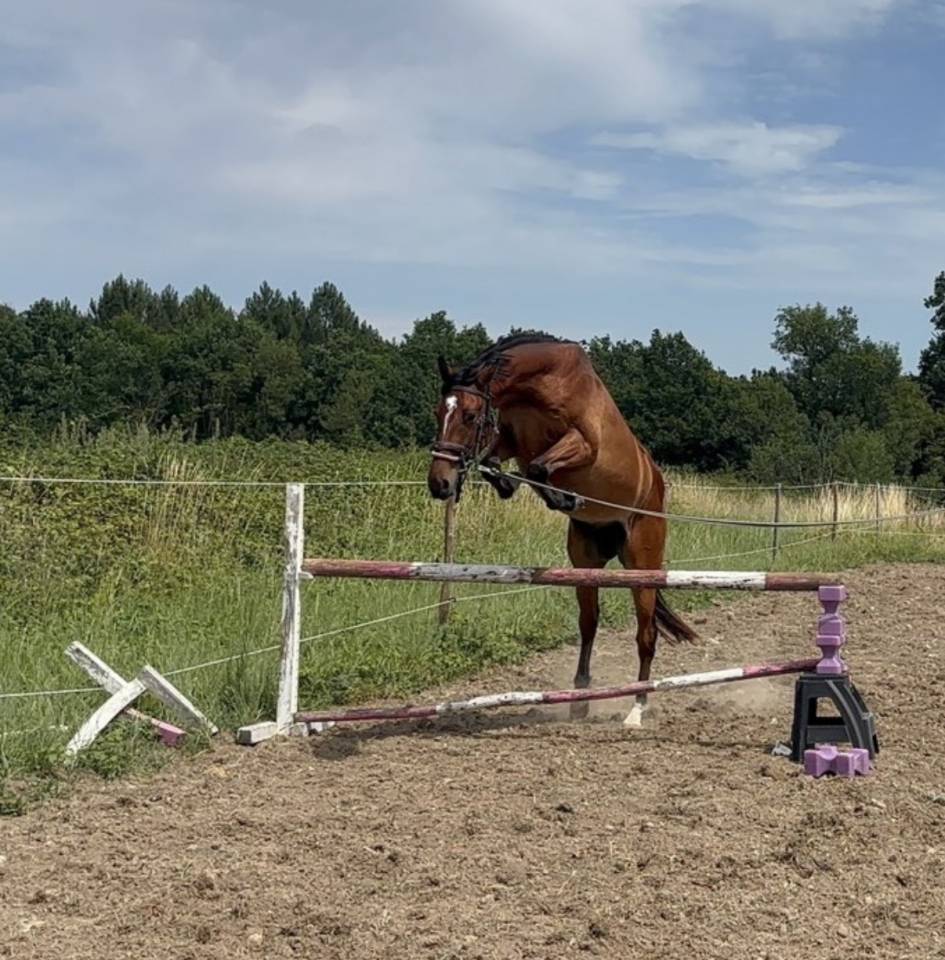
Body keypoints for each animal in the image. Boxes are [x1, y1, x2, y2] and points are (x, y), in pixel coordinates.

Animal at [427, 333, 696, 727]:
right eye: (438, 413)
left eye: (470, 415)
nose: (440, 484)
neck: (542, 384)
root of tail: (657, 486)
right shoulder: (512, 438)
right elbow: (499, 464)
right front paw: (520, 488)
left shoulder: (582, 443)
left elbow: (537, 468)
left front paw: (563, 497)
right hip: (586, 562)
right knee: (589, 624)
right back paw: (580, 700)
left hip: (641, 566)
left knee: (646, 635)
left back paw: (636, 709)